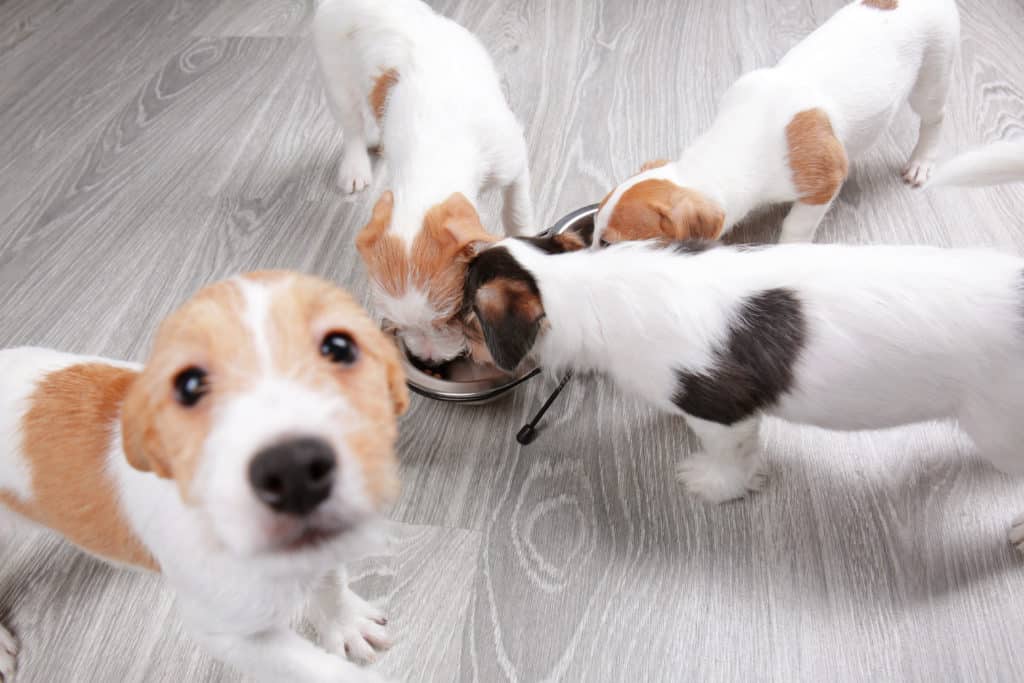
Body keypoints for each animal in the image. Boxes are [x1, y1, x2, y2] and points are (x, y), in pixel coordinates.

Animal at [0, 272, 407, 683]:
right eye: (190, 385)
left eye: (340, 348)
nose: (294, 470)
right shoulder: (231, 635)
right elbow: (322, 670)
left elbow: (331, 584)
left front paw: (344, 624)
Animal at [311, 0, 536, 368]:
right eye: (397, 325)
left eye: (451, 317)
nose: (430, 362)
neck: (435, 149)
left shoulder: (512, 164)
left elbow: (516, 210)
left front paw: (525, 238)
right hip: (336, 82)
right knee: (352, 127)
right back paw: (356, 165)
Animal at [464, 237, 1024, 548]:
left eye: (466, 318)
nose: (463, 349)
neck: (582, 285)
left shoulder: (721, 411)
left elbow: (727, 456)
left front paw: (713, 484)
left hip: (1001, 428)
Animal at [593, 0, 958, 248]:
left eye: (609, 243)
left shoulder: (824, 182)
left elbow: (796, 225)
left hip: (931, 77)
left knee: (935, 118)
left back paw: (922, 161)